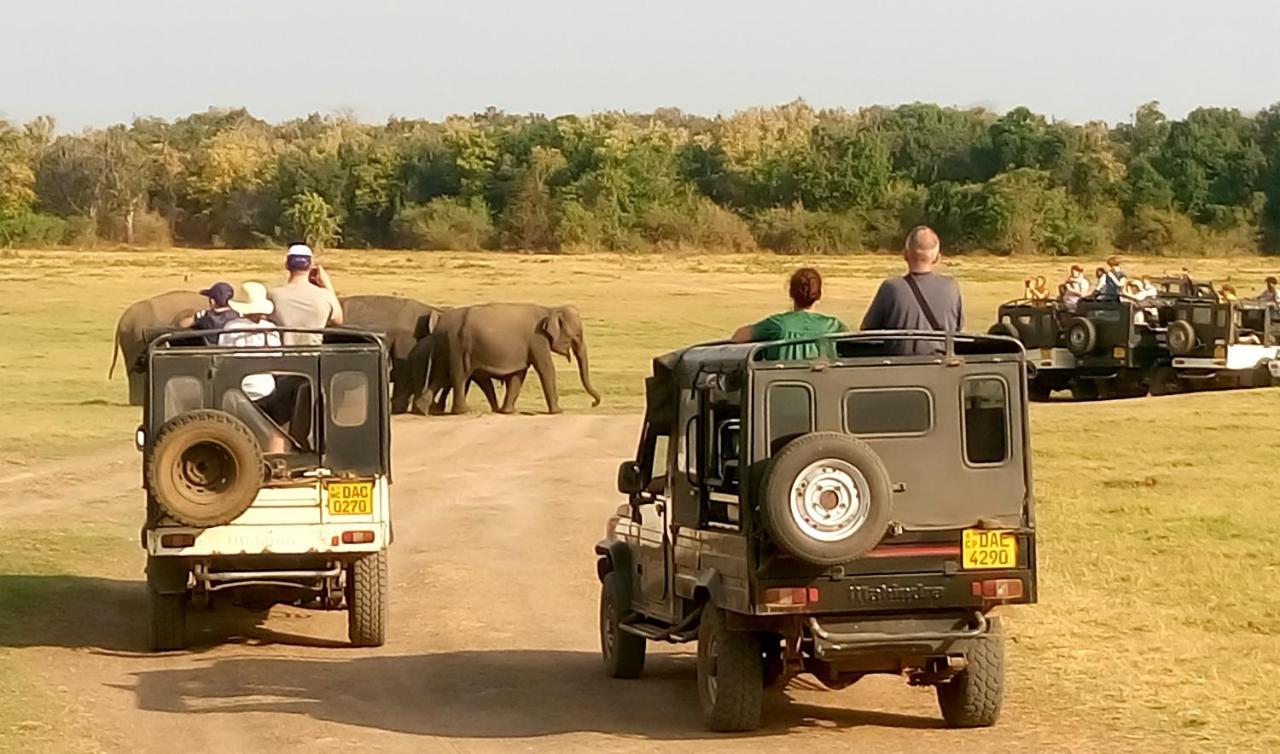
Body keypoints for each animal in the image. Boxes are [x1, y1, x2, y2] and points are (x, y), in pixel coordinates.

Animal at [432, 300, 601, 417]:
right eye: (577, 335)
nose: (593, 403)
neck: (549, 309)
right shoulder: (537, 339)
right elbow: (546, 369)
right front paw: (558, 411)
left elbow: (518, 375)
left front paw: (508, 412)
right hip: (458, 345)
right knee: (460, 376)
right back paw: (463, 411)